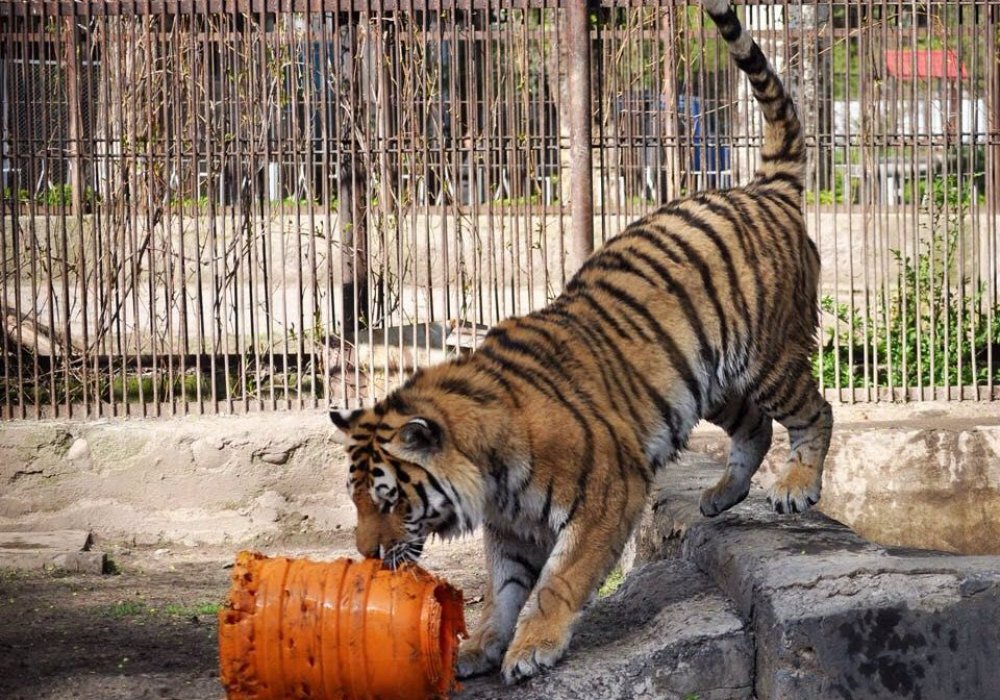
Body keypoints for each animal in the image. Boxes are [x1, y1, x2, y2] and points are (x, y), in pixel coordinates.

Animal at [328, 0, 828, 684]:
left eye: (388, 498)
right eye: (354, 500)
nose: (368, 556)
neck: (488, 470)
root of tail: (761, 187)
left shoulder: (609, 494)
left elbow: (557, 582)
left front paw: (531, 649)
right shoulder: (511, 525)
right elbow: (505, 587)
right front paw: (482, 644)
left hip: (767, 360)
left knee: (815, 411)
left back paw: (796, 488)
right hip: (709, 377)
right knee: (753, 424)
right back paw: (720, 497)